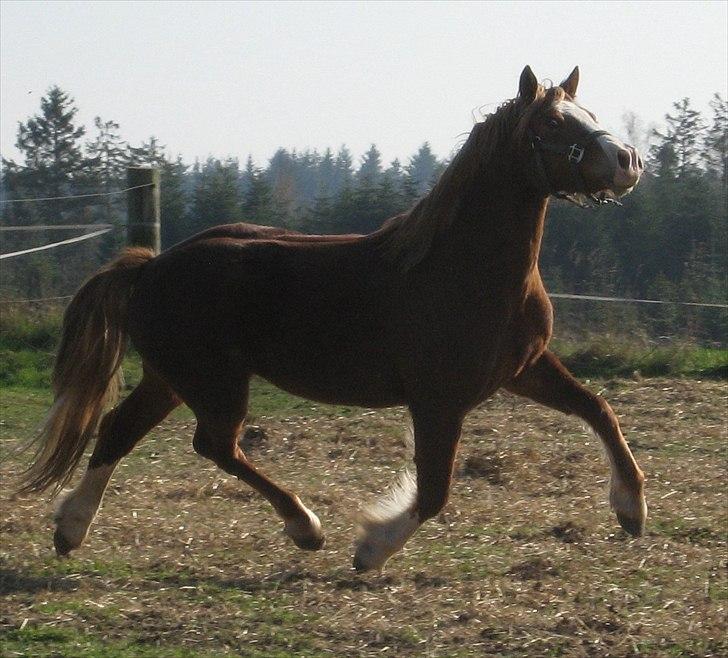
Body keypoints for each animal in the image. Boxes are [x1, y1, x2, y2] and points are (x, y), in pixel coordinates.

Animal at [21, 66, 648, 568]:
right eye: (553, 124)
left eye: (590, 115)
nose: (628, 160)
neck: (466, 267)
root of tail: (150, 267)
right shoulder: (438, 398)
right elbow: (435, 490)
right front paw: (372, 548)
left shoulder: (523, 369)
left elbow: (599, 409)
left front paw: (632, 509)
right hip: (213, 383)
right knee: (215, 445)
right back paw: (305, 526)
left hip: (171, 379)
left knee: (119, 429)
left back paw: (71, 528)